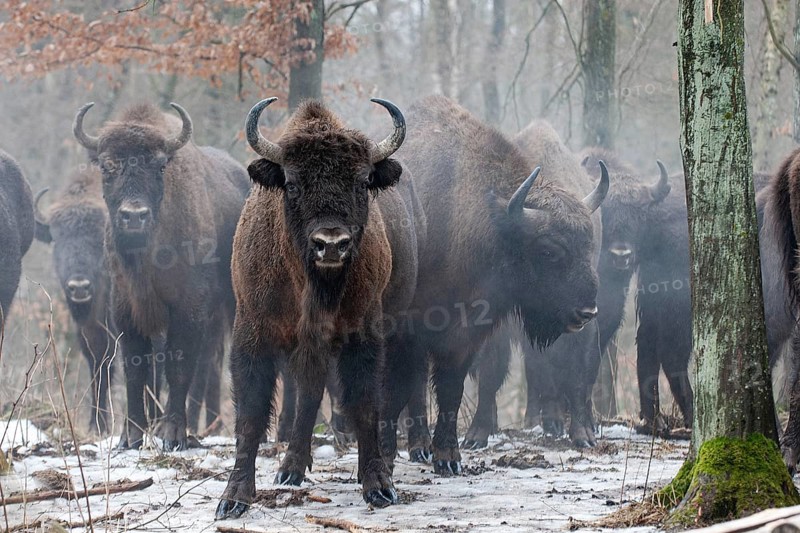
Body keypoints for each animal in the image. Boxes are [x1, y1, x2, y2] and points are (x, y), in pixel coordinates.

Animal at [73, 102, 250, 450]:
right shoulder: (125, 308)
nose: (134, 216)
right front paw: (131, 436)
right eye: (107, 166)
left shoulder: (188, 308)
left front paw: (173, 434)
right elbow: (135, 367)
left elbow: (178, 366)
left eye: (158, 166)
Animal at [216, 97, 422, 517]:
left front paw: (378, 486)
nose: (331, 244)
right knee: (309, 396)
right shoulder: (253, 332)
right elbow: (250, 413)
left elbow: (366, 403)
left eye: (362, 182)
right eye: (292, 184)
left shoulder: (363, 334)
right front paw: (233, 498)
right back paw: (290, 469)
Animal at [380, 96, 607, 475]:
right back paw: (415, 447)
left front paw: (449, 458)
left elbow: (452, 390)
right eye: (549, 250)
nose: (587, 311)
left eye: (590, 244)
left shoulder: (468, 333)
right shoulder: (408, 330)